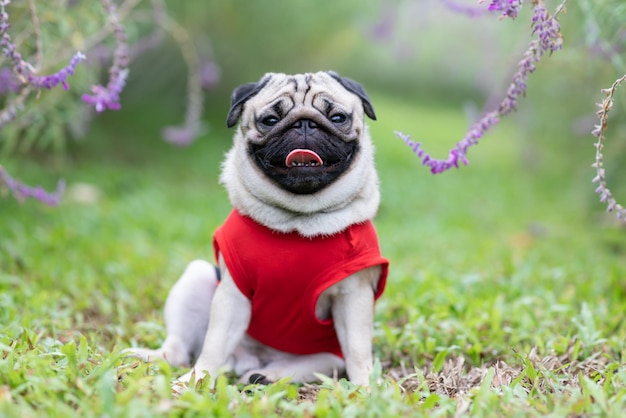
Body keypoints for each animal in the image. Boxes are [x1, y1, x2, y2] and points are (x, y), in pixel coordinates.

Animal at [126, 70, 388, 386]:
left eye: (337, 118)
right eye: (270, 120)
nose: (304, 123)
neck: (299, 219)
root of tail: (244, 361)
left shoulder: (353, 297)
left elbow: (358, 353)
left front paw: (366, 388)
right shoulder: (231, 296)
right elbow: (213, 345)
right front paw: (195, 381)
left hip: (326, 357)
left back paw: (263, 376)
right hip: (197, 278)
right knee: (179, 349)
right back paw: (151, 357)